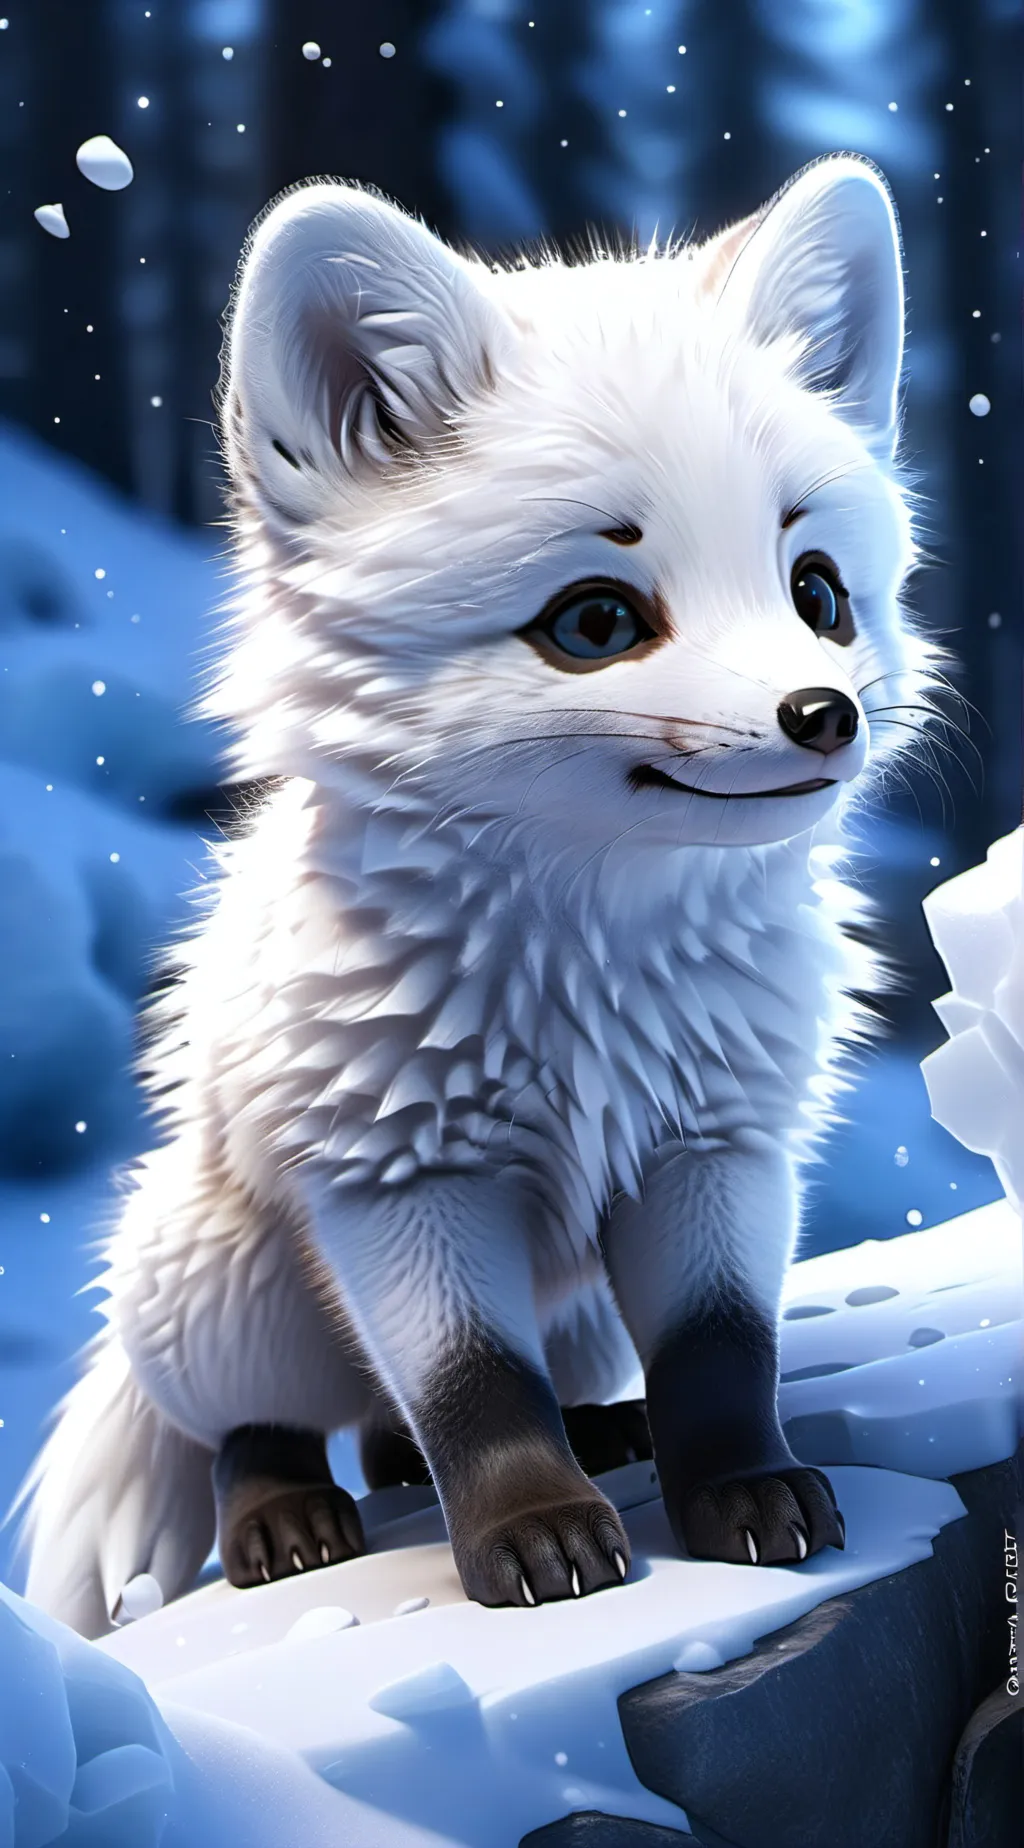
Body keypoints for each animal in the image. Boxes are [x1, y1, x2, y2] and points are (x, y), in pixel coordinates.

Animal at [16, 152, 937, 1637]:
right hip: (238, 1294)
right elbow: (470, 1387)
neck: (593, 992)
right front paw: (535, 1539)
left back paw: (596, 1432)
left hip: (575, 1306)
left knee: (409, 1418)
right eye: (596, 621)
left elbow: (720, 1354)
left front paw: (745, 1495)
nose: (822, 716)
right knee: (268, 1428)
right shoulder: (401, 1177)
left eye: (818, 593)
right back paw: (286, 1524)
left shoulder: (715, 1145)